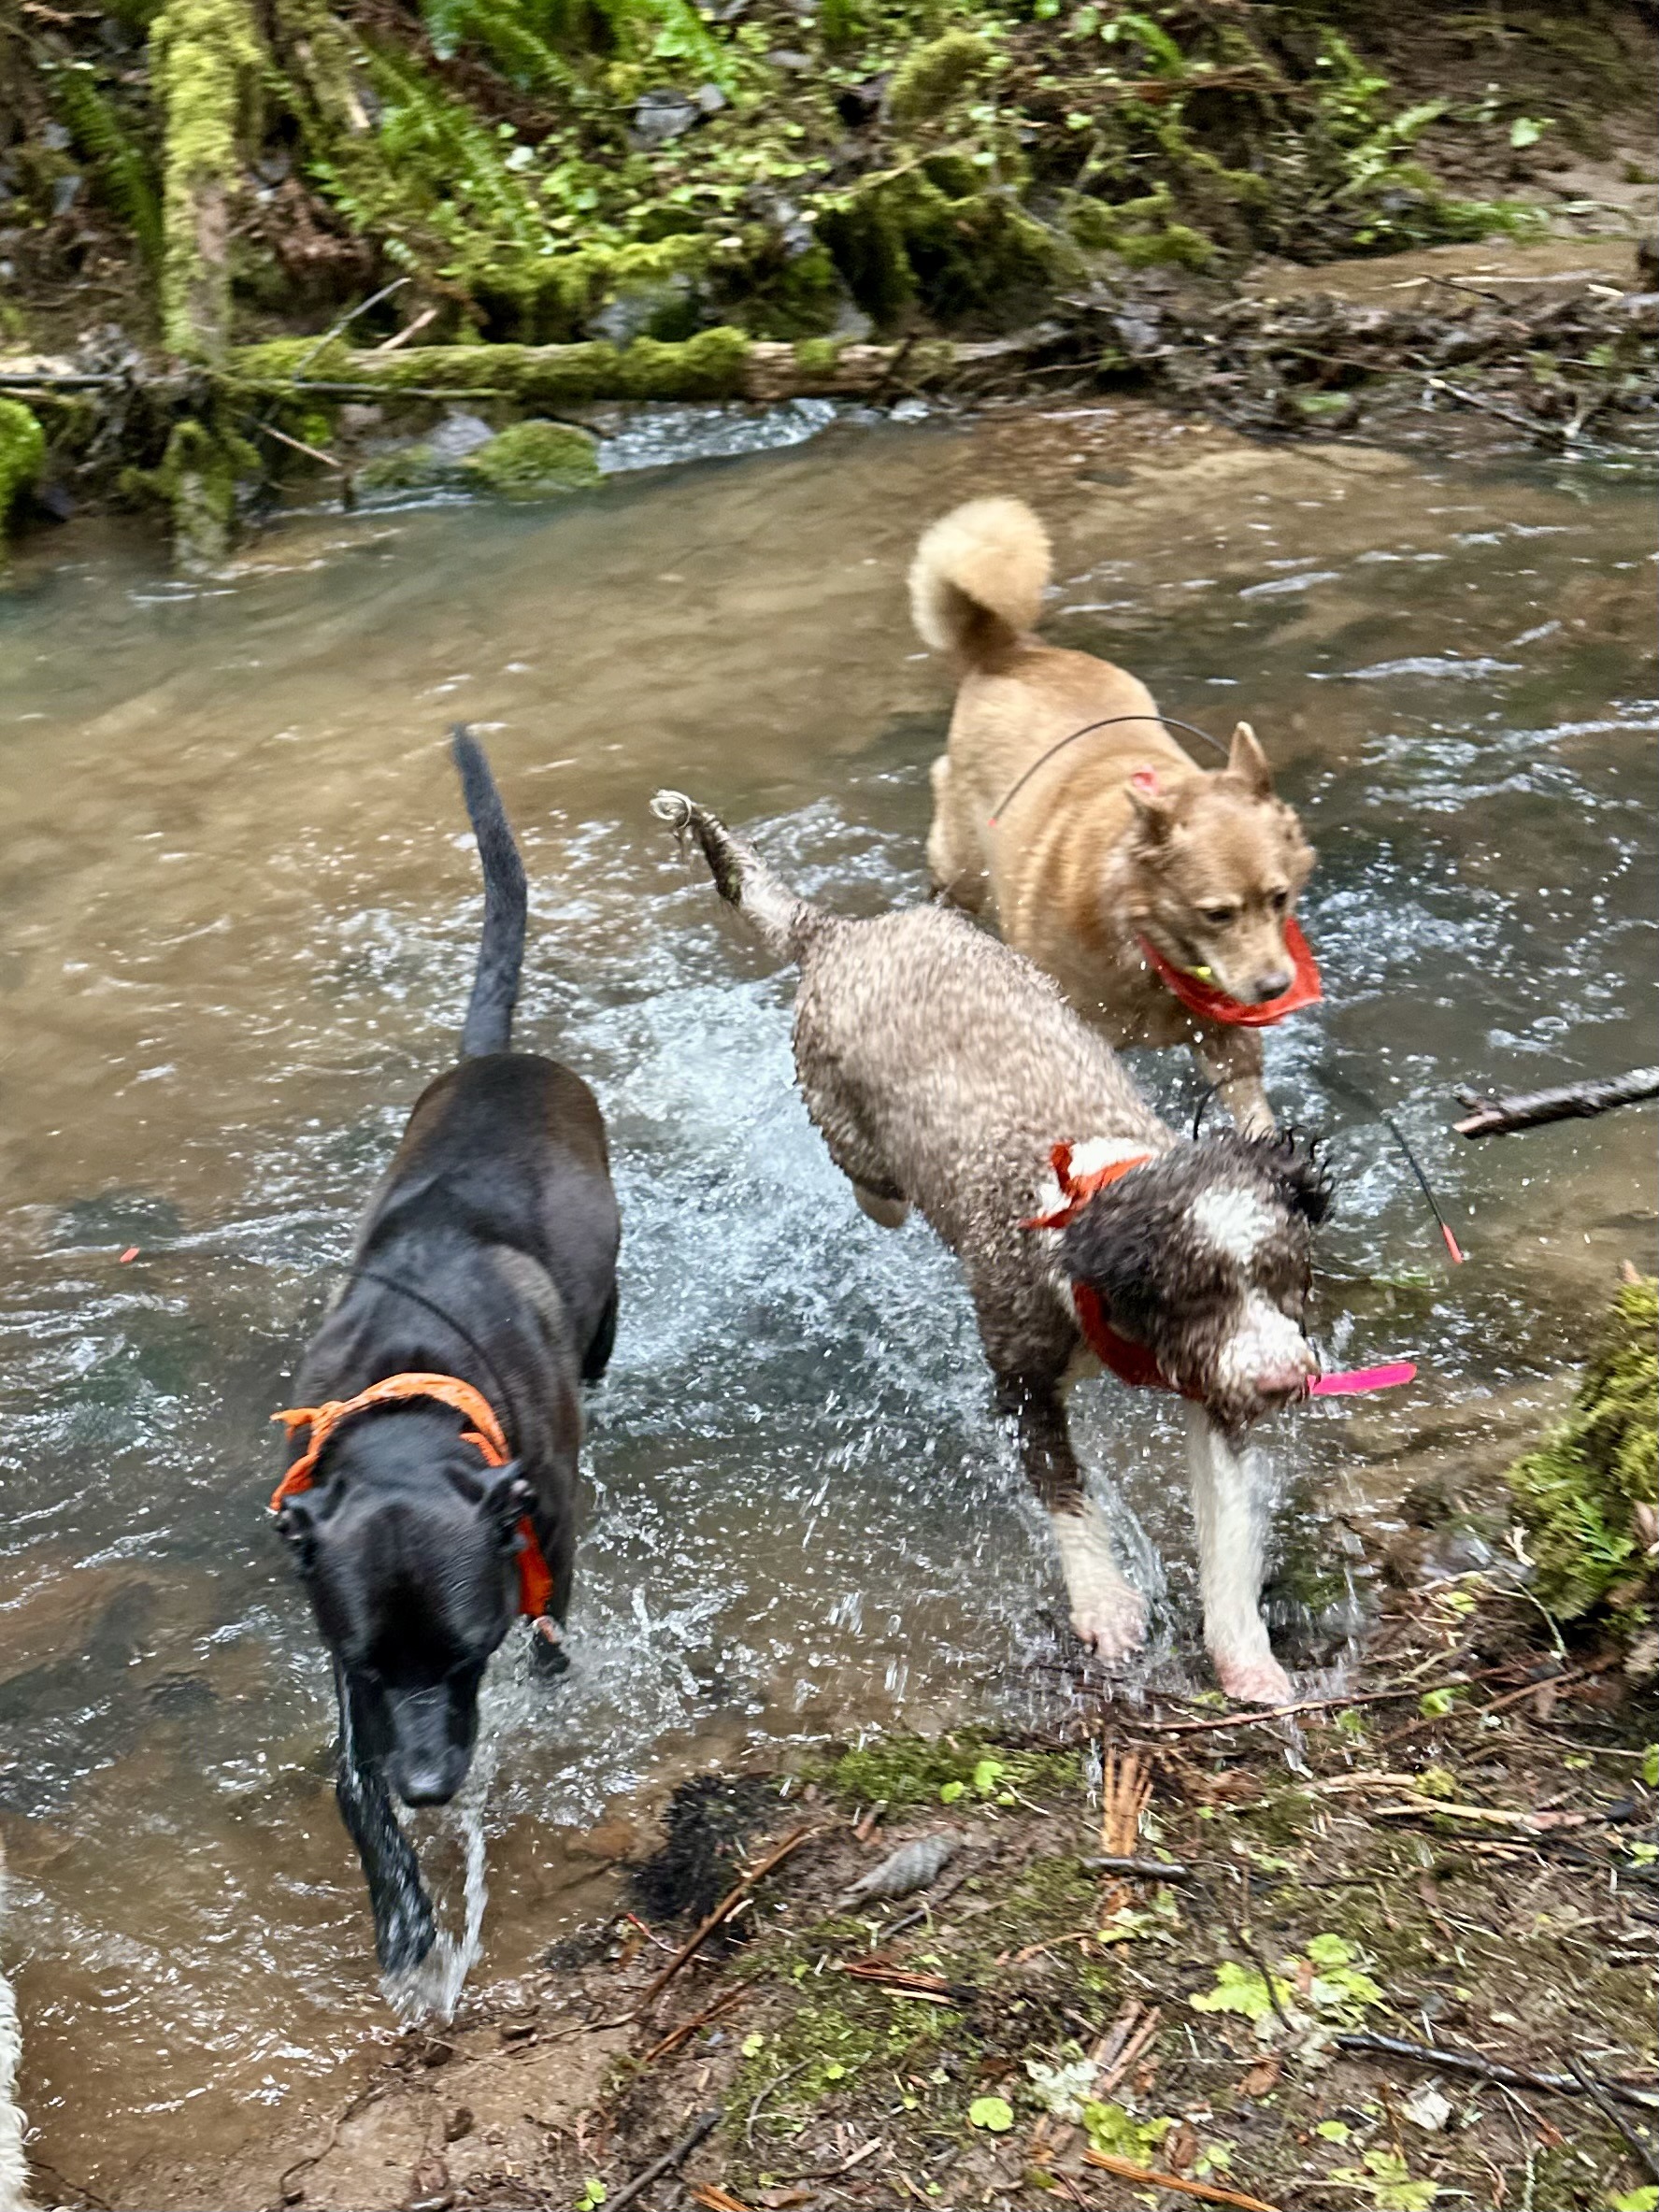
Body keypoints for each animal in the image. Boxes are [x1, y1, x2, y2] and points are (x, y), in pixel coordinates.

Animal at [276, 730, 619, 1973]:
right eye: (380, 1667)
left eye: (470, 1656)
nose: (428, 1788)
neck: (407, 1401)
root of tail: (499, 1059)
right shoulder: (329, 1619)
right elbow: (346, 1777)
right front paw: (400, 1905)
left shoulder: (547, 1539)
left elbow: (551, 1646)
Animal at [654, 787, 1336, 1698]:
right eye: (1197, 1292)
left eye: (1287, 1279)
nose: (1281, 1380)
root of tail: (845, 933)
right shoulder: (1022, 1381)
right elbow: (1067, 1494)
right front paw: (1106, 1604)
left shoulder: (1211, 1389)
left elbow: (1225, 1529)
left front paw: (1247, 1658)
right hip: (854, 1137)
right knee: (875, 1192)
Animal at [915, 492, 1318, 1132]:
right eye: (1216, 914)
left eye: (1279, 898)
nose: (1276, 987)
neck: (1145, 945)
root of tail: (1010, 650)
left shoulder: (1225, 1040)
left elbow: (1252, 1111)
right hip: (961, 864)